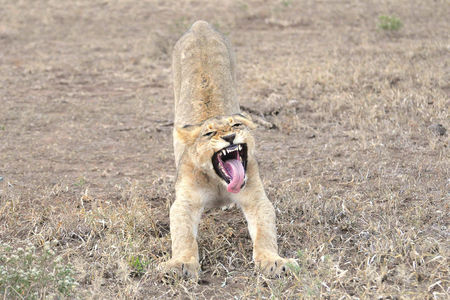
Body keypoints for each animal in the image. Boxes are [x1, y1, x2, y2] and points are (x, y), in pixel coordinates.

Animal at [162, 19, 296, 278]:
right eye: (209, 133)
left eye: (236, 125)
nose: (230, 137)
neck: (218, 182)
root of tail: (200, 25)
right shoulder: (184, 202)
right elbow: (184, 238)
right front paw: (181, 264)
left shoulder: (256, 198)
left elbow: (265, 234)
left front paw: (274, 262)